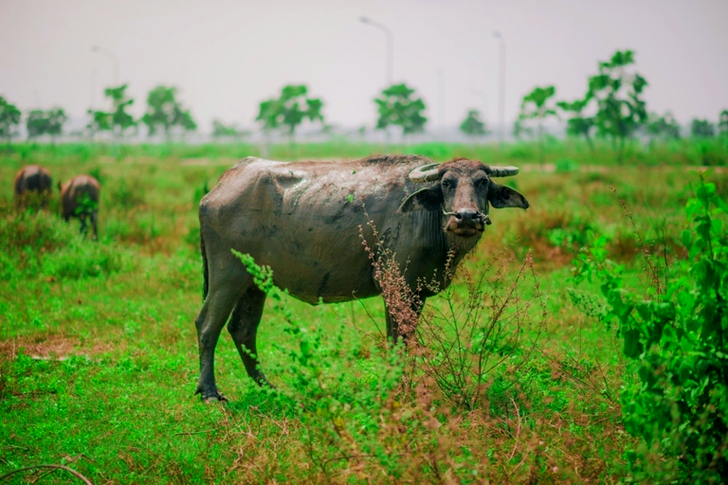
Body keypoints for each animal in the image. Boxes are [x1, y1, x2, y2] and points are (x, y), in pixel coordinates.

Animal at [194, 155, 529, 400]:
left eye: (483, 182)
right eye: (447, 183)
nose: (467, 217)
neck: (427, 219)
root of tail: (218, 188)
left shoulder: (415, 294)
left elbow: (407, 340)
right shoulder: (395, 287)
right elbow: (397, 341)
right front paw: (398, 389)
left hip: (255, 283)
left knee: (243, 329)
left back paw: (269, 388)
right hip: (227, 276)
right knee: (208, 325)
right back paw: (210, 392)